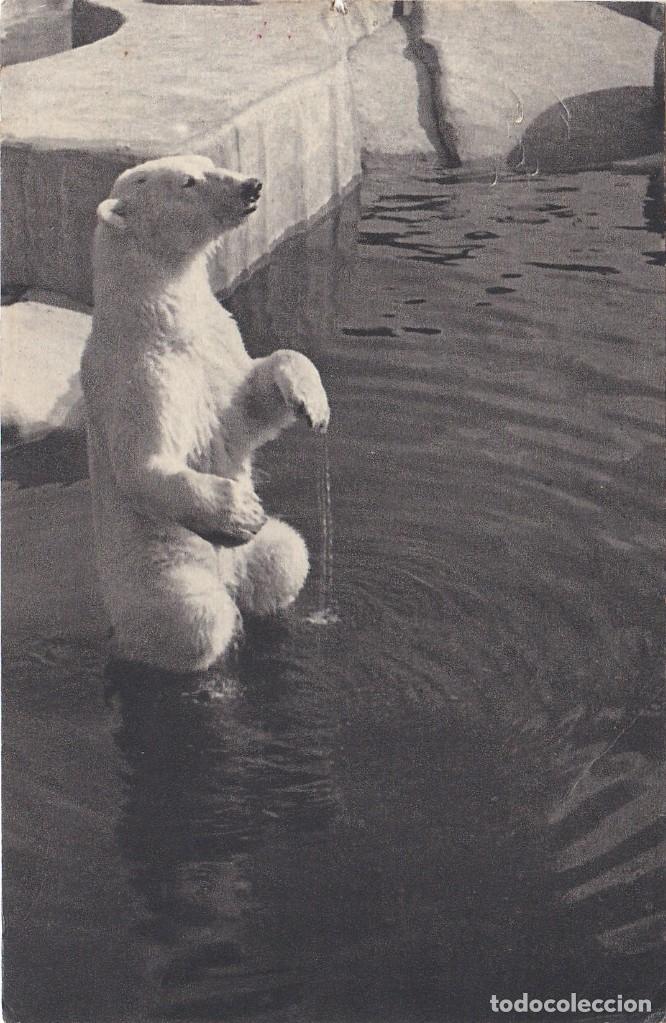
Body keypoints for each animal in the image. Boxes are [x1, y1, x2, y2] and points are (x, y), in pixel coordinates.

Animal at [80, 154, 330, 673]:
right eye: (188, 182)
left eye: (210, 163)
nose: (251, 186)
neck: (159, 317)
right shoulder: (136, 374)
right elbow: (144, 464)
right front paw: (242, 512)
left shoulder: (215, 340)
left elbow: (246, 408)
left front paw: (311, 402)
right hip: (156, 570)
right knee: (191, 617)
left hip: (253, 560)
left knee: (286, 555)